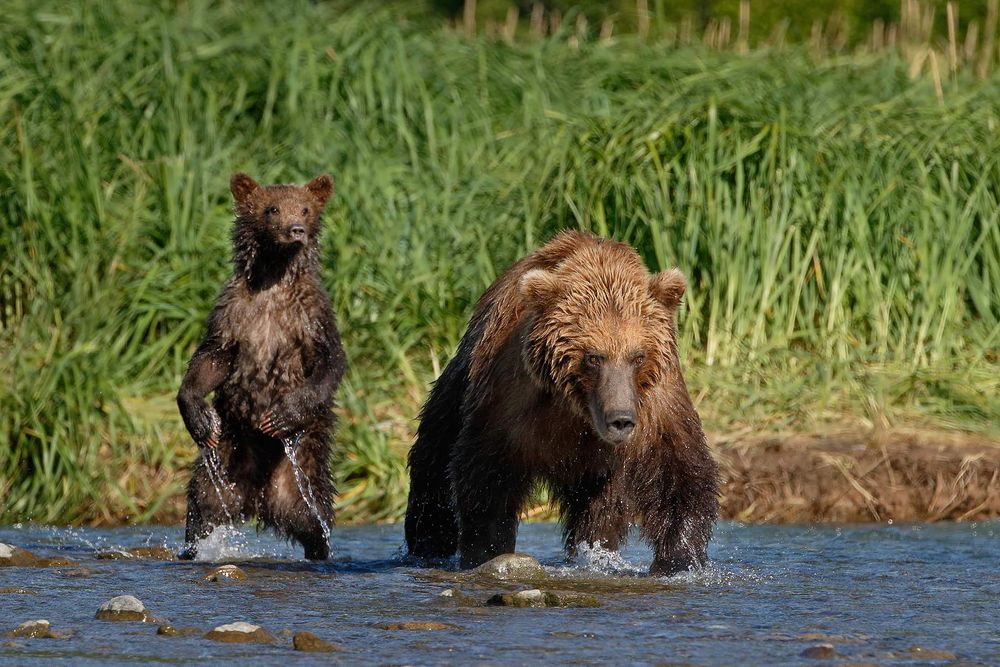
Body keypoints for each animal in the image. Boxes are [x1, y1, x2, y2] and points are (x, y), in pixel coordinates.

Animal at [176, 172, 345, 560]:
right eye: (272, 209)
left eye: (305, 208)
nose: (296, 229)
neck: (274, 277)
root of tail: (258, 499)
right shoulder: (235, 312)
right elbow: (213, 357)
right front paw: (199, 417)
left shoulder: (311, 315)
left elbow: (329, 361)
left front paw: (283, 413)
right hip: (226, 460)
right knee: (202, 505)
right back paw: (190, 549)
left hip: (301, 466)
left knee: (314, 515)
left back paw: (320, 550)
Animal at [404, 230, 719, 575]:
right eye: (594, 357)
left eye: (638, 356)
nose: (620, 419)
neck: (579, 410)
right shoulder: (512, 397)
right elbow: (486, 472)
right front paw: (486, 551)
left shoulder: (657, 404)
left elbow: (681, 472)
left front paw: (678, 559)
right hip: (459, 384)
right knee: (434, 461)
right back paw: (428, 543)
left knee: (601, 512)